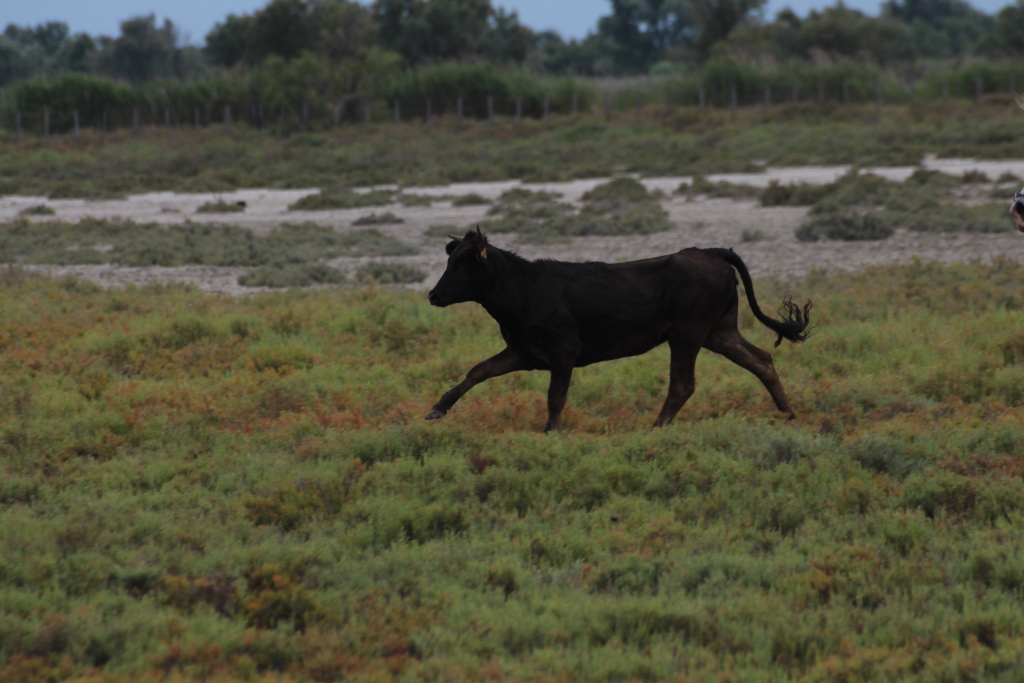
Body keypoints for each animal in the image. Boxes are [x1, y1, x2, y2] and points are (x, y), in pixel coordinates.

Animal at [423, 229, 806, 432]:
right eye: (449, 259)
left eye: (463, 262)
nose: (433, 295)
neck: (524, 291)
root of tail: (710, 252)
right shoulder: (523, 352)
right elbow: (478, 371)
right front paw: (437, 409)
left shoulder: (564, 351)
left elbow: (555, 397)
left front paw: (549, 432)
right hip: (719, 331)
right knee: (761, 360)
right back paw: (788, 414)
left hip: (688, 333)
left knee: (683, 383)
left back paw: (655, 428)